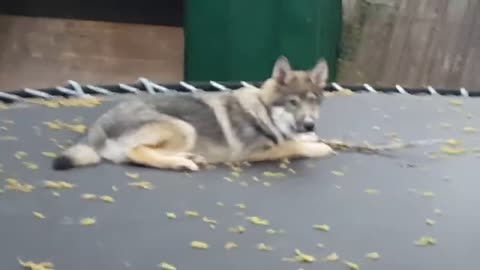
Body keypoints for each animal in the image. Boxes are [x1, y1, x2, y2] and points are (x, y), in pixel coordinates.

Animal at [51, 56, 334, 172]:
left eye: (313, 102)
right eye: (293, 103)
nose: (310, 124)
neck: (264, 110)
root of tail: (98, 126)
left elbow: (297, 140)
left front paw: (313, 138)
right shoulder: (254, 153)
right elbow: (294, 146)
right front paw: (319, 147)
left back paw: (189, 157)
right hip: (185, 127)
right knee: (136, 153)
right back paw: (181, 163)